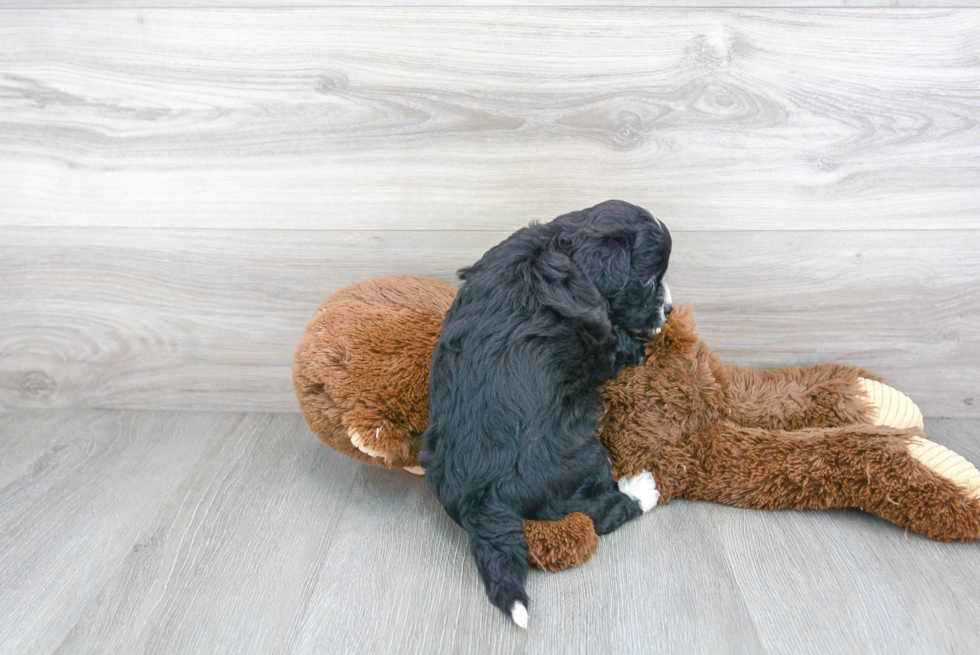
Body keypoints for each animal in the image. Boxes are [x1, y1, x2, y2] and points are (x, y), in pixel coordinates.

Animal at [418, 201, 668, 632]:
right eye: (650, 279)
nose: (669, 309)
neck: (559, 245)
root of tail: (476, 501)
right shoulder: (601, 339)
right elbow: (619, 344)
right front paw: (641, 343)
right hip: (581, 456)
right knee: (596, 511)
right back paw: (641, 490)